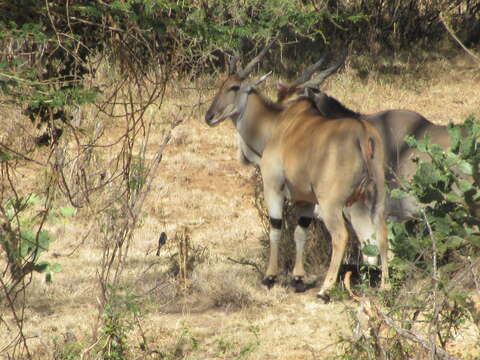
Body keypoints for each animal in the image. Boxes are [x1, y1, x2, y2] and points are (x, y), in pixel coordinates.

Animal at [204, 41, 388, 300]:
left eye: (234, 86)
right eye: (220, 83)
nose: (209, 116)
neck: (275, 124)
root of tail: (362, 133)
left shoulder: (273, 187)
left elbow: (276, 227)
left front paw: (270, 277)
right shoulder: (305, 201)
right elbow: (301, 233)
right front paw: (298, 279)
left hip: (333, 204)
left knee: (342, 236)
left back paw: (325, 290)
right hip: (371, 199)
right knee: (379, 232)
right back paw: (382, 286)